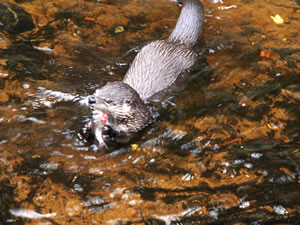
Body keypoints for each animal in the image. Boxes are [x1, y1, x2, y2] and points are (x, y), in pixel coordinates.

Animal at [80, 0, 204, 149]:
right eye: (96, 91)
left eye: (108, 101)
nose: (91, 99)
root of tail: (177, 42)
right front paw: (85, 129)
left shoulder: (141, 125)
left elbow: (127, 138)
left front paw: (110, 131)